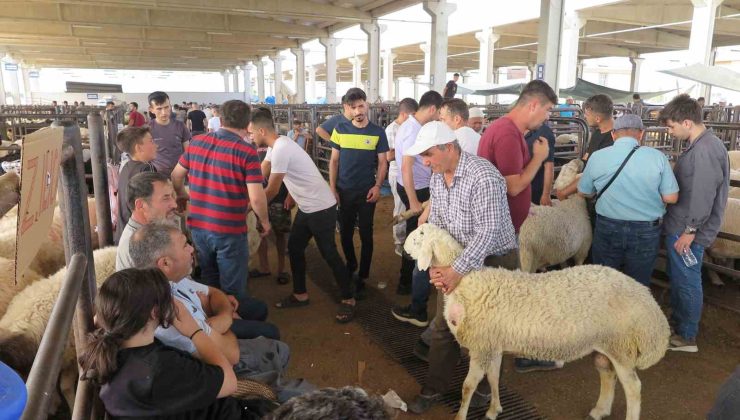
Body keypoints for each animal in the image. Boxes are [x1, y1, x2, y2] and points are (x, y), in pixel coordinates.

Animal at [404, 223, 672, 420]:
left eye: (419, 237)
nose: (405, 246)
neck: (467, 282)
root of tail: (649, 302)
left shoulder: (481, 346)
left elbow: (468, 386)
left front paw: (461, 415)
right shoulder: (492, 344)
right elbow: (493, 378)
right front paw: (494, 410)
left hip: (622, 347)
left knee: (633, 388)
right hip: (607, 346)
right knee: (607, 374)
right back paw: (599, 410)